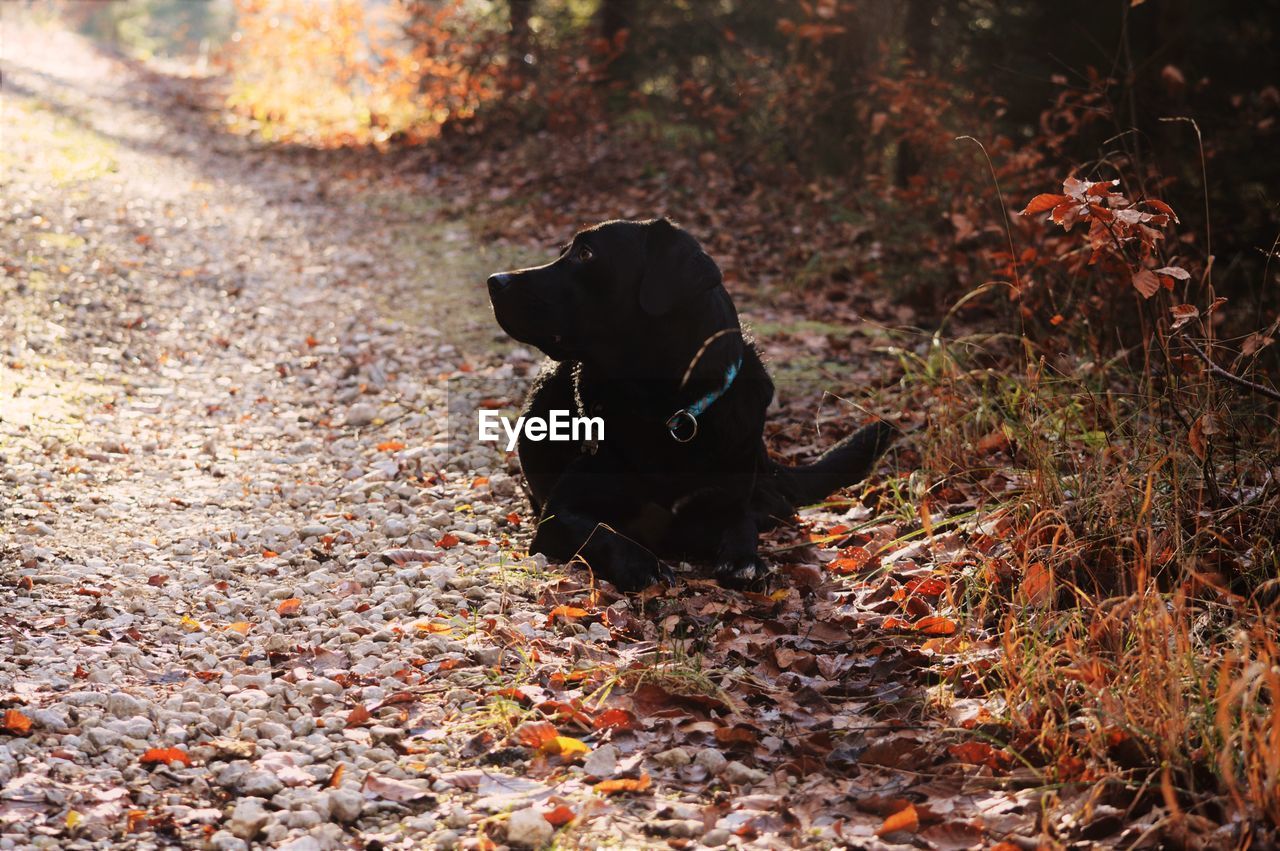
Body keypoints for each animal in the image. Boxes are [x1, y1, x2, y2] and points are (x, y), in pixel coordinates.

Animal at [483, 217, 896, 591]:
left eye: (586, 253)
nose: (493, 281)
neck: (666, 410)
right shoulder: (557, 515)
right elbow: (601, 531)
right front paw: (643, 565)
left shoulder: (726, 501)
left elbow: (741, 524)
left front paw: (744, 560)